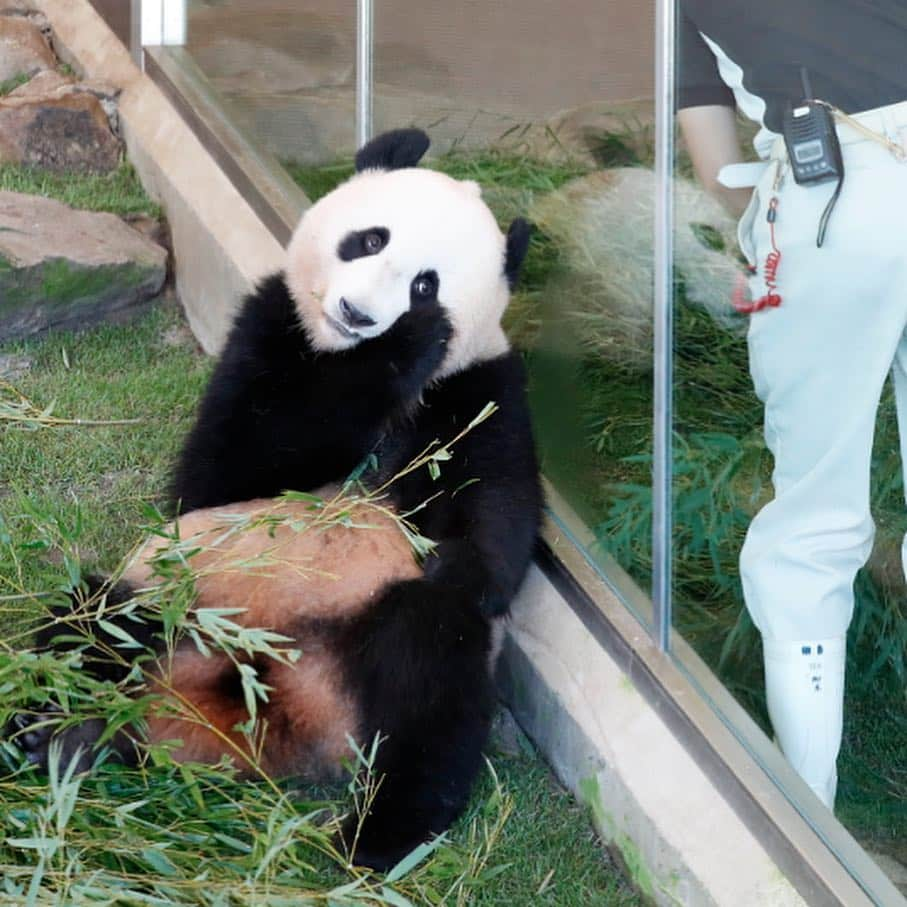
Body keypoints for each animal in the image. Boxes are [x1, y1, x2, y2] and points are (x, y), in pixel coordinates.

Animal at [10, 129, 544, 872]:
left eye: (425, 282)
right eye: (368, 240)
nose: (359, 316)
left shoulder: (480, 384)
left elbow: (493, 508)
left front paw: (463, 563)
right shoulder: (269, 328)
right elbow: (232, 463)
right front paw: (400, 348)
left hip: (371, 625)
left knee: (431, 677)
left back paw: (379, 835)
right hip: (182, 590)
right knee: (96, 619)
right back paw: (56, 729)